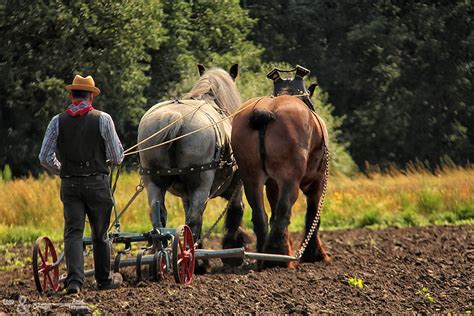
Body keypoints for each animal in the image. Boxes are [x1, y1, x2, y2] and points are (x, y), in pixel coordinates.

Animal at [137, 65, 246, 272]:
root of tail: (174, 118)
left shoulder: (185, 195)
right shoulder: (236, 186)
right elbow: (235, 213)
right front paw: (233, 250)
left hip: (154, 182)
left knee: (160, 219)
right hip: (200, 183)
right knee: (194, 220)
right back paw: (195, 260)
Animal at [230, 95, 330, 268]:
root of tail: (265, 111)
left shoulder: (272, 185)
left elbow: (273, 213)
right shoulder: (317, 182)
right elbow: (313, 215)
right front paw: (314, 255)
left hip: (252, 179)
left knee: (260, 216)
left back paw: (263, 257)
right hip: (289, 180)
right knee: (284, 210)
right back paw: (277, 256)